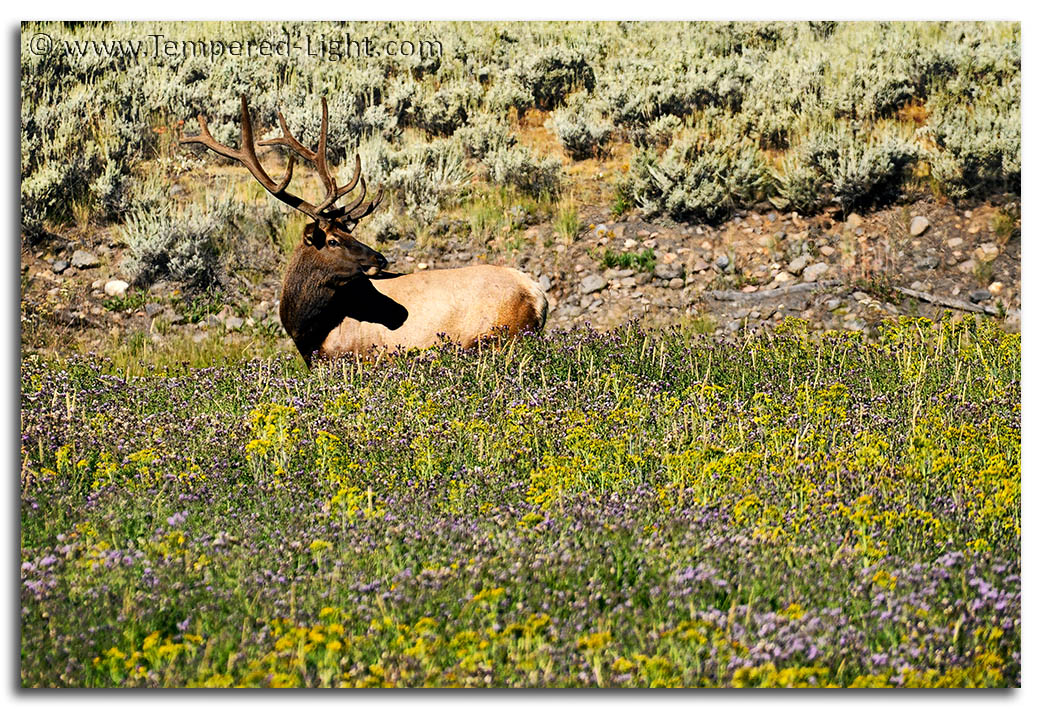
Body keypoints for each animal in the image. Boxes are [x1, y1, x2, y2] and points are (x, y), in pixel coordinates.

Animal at [181, 95, 548, 367]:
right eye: (333, 239)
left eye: (349, 234)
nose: (380, 259)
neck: (308, 330)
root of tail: (538, 296)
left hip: (496, 339)